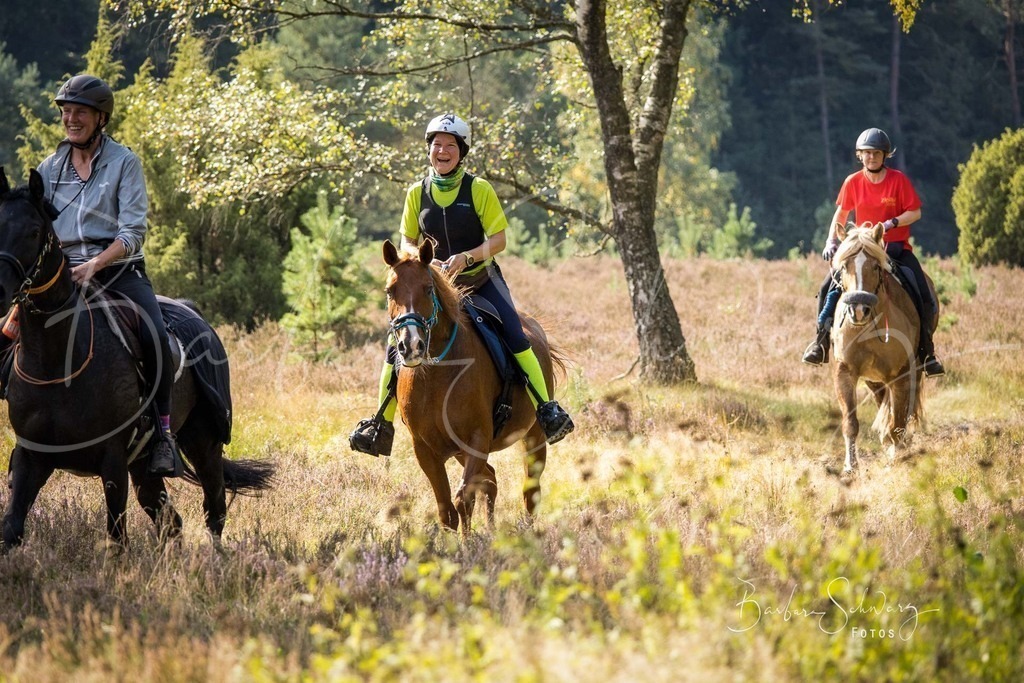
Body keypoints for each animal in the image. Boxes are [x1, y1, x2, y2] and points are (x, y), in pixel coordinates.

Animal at [0, 167, 275, 550]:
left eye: (34, 231)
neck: (58, 360)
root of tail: (193, 311)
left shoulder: (113, 460)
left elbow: (117, 536)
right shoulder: (31, 457)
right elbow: (11, 528)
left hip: (203, 442)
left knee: (214, 509)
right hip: (144, 464)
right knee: (169, 519)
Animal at [382, 238, 567, 534]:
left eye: (428, 288)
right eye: (390, 291)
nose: (411, 345)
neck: (436, 374)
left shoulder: (477, 440)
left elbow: (463, 499)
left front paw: (468, 543)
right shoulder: (425, 449)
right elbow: (446, 510)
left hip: (534, 436)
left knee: (530, 491)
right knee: (490, 479)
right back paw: (491, 530)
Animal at [829, 223, 935, 473]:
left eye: (876, 266)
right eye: (844, 266)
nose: (858, 309)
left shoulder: (903, 375)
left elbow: (898, 422)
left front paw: (895, 459)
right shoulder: (845, 372)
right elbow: (850, 422)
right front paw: (850, 467)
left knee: (902, 414)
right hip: (874, 380)